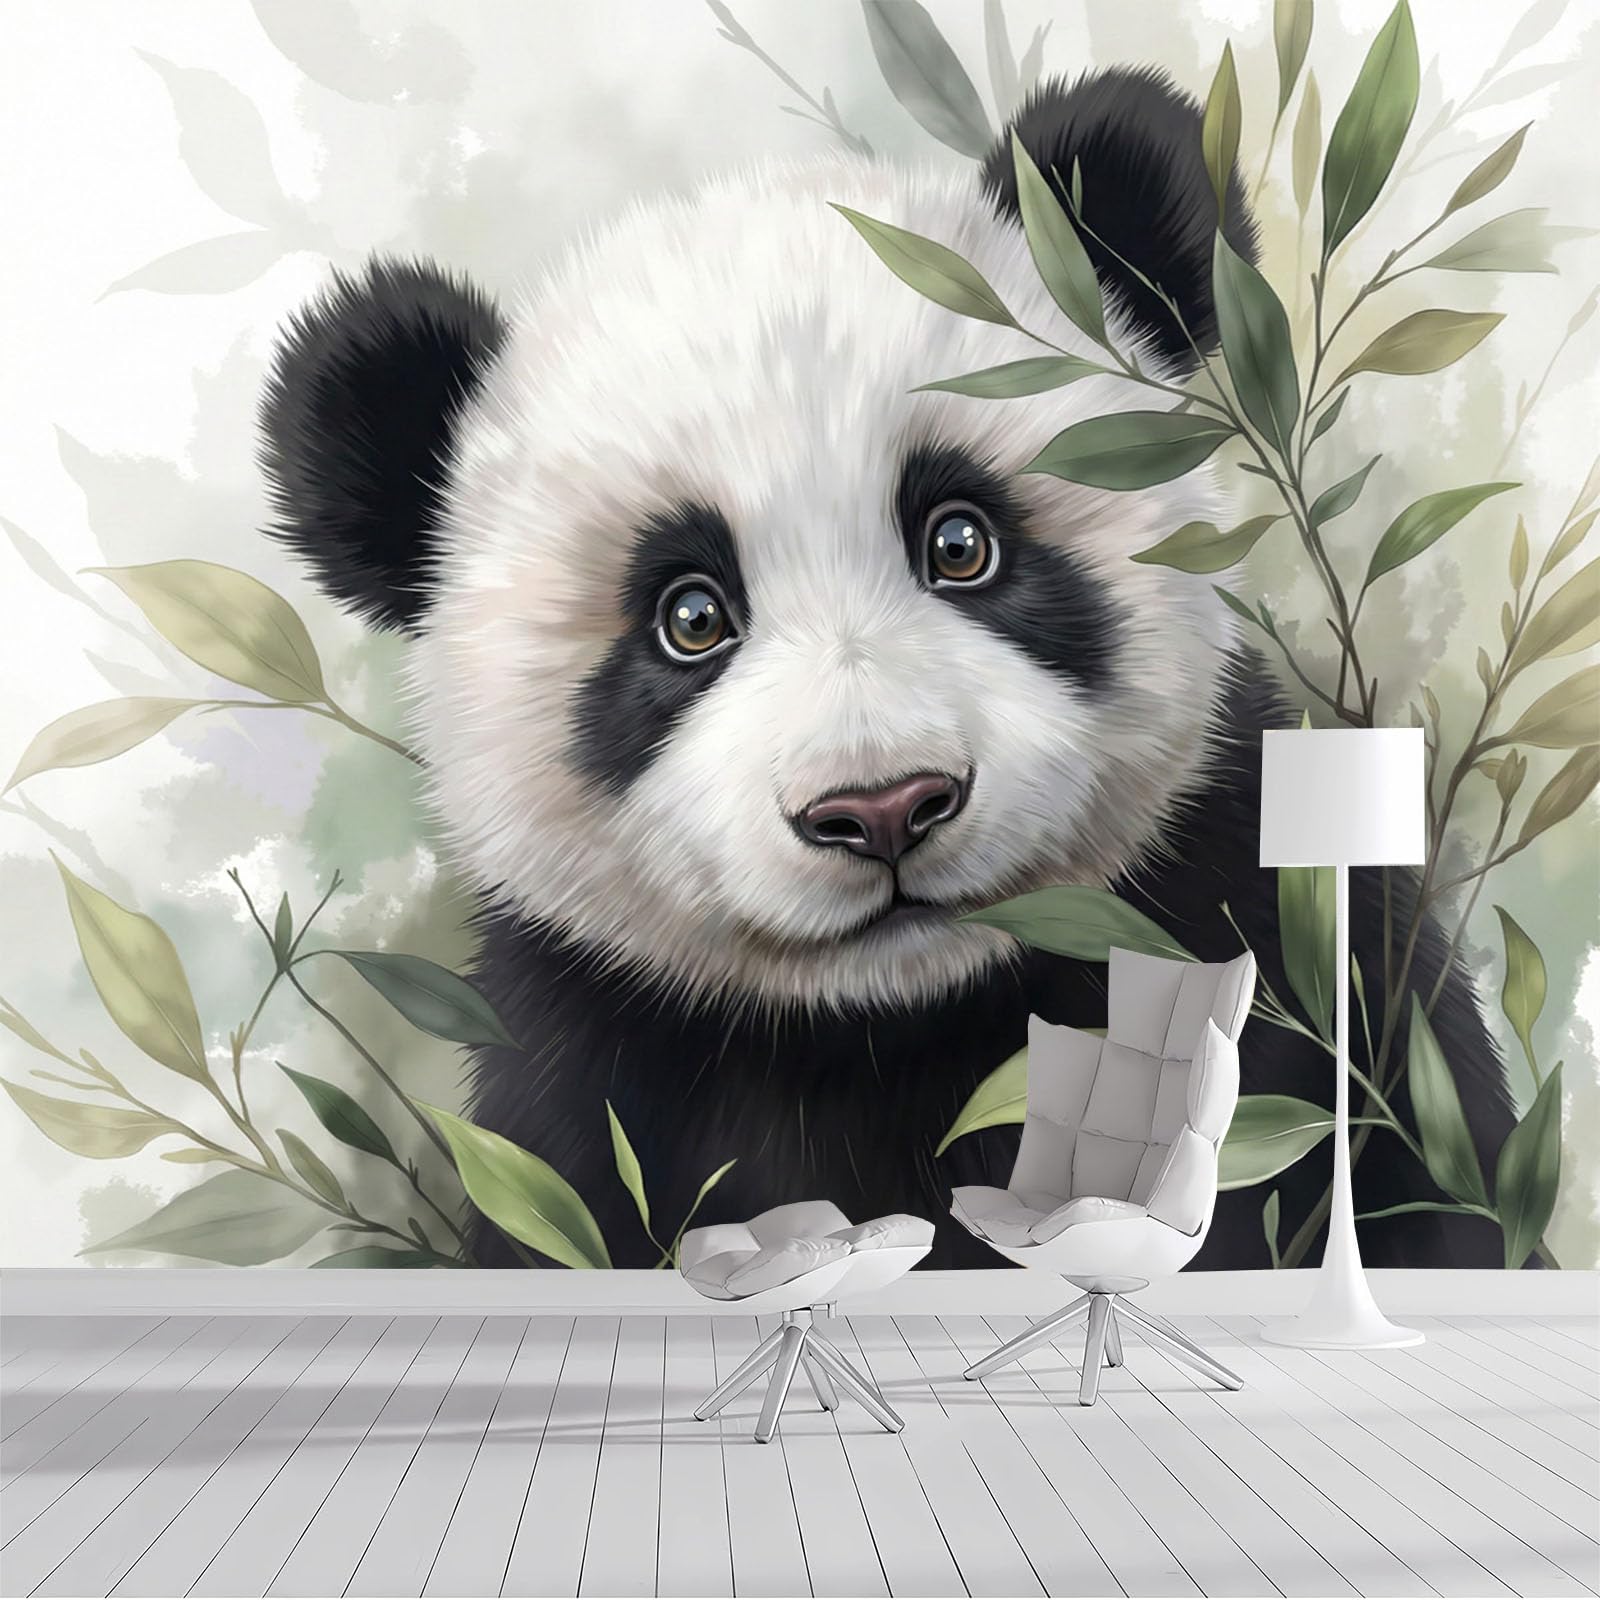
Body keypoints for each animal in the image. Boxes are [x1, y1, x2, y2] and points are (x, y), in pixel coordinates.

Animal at [260, 68, 1518, 1269]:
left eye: (960, 541)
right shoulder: (585, 1084)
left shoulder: (1275, 925)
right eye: (689, 618)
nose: (881, 808)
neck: (903, 1028)